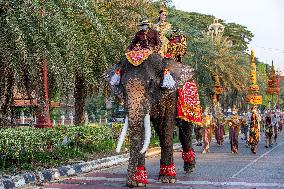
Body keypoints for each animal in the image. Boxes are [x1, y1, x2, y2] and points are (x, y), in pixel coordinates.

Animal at [107, 50, 200, 188]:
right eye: (122, 85)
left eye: (150, 83)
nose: (129, 183)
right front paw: (139, 181)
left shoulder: (171, 94)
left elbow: (167, 127)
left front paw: (167, 179)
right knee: (162, 132)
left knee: (185, 132)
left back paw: (190, 168)